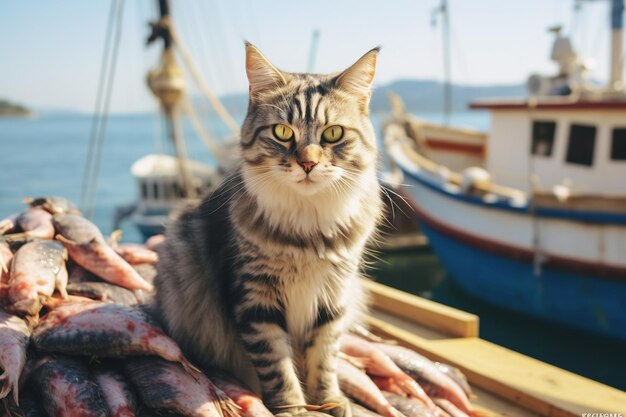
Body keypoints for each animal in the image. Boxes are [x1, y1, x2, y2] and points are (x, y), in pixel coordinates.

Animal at [154, 43, 382, 416]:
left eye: (333, 134)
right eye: (283, 132)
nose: (308, 163)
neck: (307, 228)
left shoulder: (333, 296)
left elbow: (324, 357)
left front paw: (328, 400)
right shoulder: (256, 301)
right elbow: (278, 366)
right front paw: (294, 408)